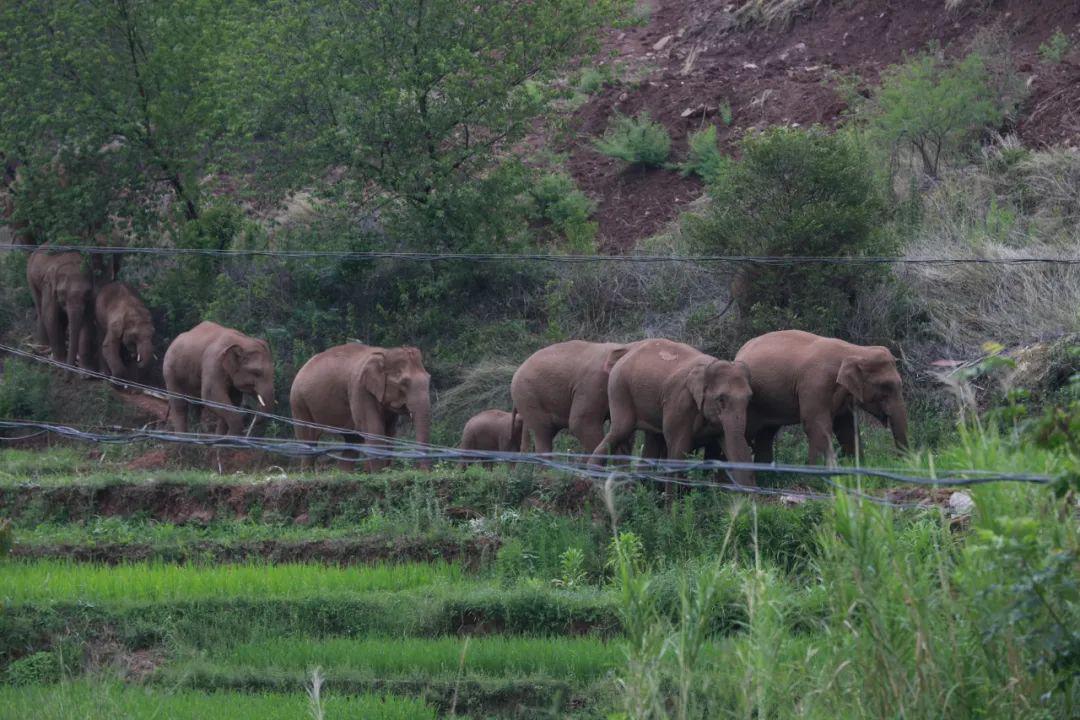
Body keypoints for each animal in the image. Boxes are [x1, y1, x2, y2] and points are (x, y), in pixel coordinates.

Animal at [295, 343, 434, 472]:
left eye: (429, 378)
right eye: (404, 382)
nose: (422, 471)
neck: (385, 353)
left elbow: (389, 431)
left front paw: (383, 471)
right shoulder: (359, 387)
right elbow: (373, 427)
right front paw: (379, 473)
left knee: (353, 440)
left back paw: (345, 473)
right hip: (299, 402)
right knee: (308, 437)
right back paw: (307, 473)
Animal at [587, 338, 756, 487]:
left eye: (749, 398)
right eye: (721, 399)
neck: (706, 367)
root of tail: (628, 349)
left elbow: (733, 447)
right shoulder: (679, 402)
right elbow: (678, 448)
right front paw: (673, 502)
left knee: (651, 440)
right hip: (619, 389)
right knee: (620, 430)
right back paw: (592, 478)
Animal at [734, 330, 911, 464]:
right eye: (885, 386)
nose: (898, 461)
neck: (854, 350)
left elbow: (846, 426)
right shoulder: (815, 383)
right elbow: (815, 424)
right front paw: (817, 478)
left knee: (766, 434)